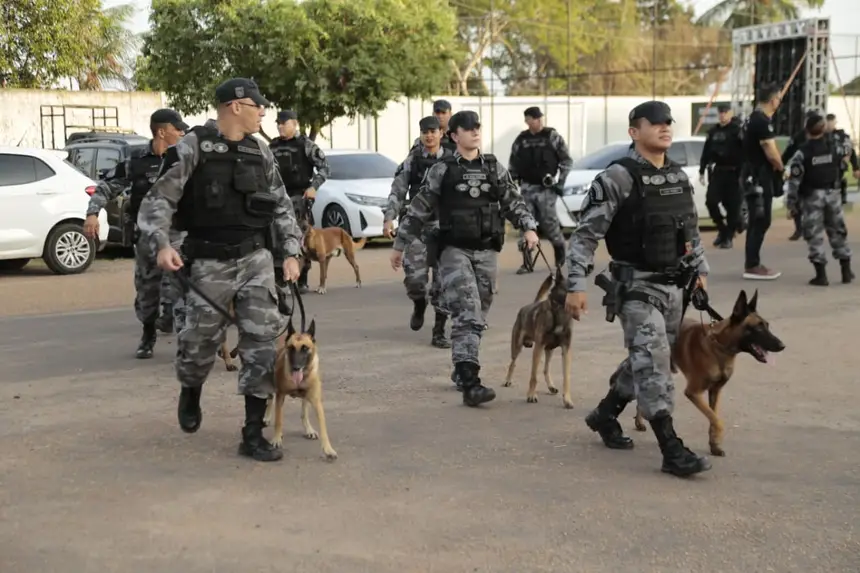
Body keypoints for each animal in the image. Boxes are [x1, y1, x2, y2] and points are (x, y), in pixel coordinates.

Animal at [263, 316, 337, 460]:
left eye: (305, 348)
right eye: (291, 348)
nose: (296, 367)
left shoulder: (316, 401)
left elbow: (322, 428)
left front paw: (328, 449)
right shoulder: (280, 396)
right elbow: (279, 420)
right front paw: (276, 438)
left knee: (304, 411)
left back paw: (308, 429)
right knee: (270, 400)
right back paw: (267, 417)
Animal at [503, 266, 574, 408]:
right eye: (568, 290)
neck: (558, 314)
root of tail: (528, 306)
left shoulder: (566, 349)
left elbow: (566, 378)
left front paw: (567, 399)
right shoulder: (538, 348)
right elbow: (533, 377)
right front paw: (531, 395)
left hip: (549, 350)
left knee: (546, 369)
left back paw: (551, 386)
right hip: (517, 347)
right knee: (513, 363)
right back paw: (508, 380)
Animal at [632, 289, 785, 456]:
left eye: (767, 326)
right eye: (758, 328)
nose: (782, 345)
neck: (720, 348)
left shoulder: (715, 391)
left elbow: (713, 416)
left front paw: (714, 445)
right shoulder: (693, 392)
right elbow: (717, 420)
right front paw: (718, 435)